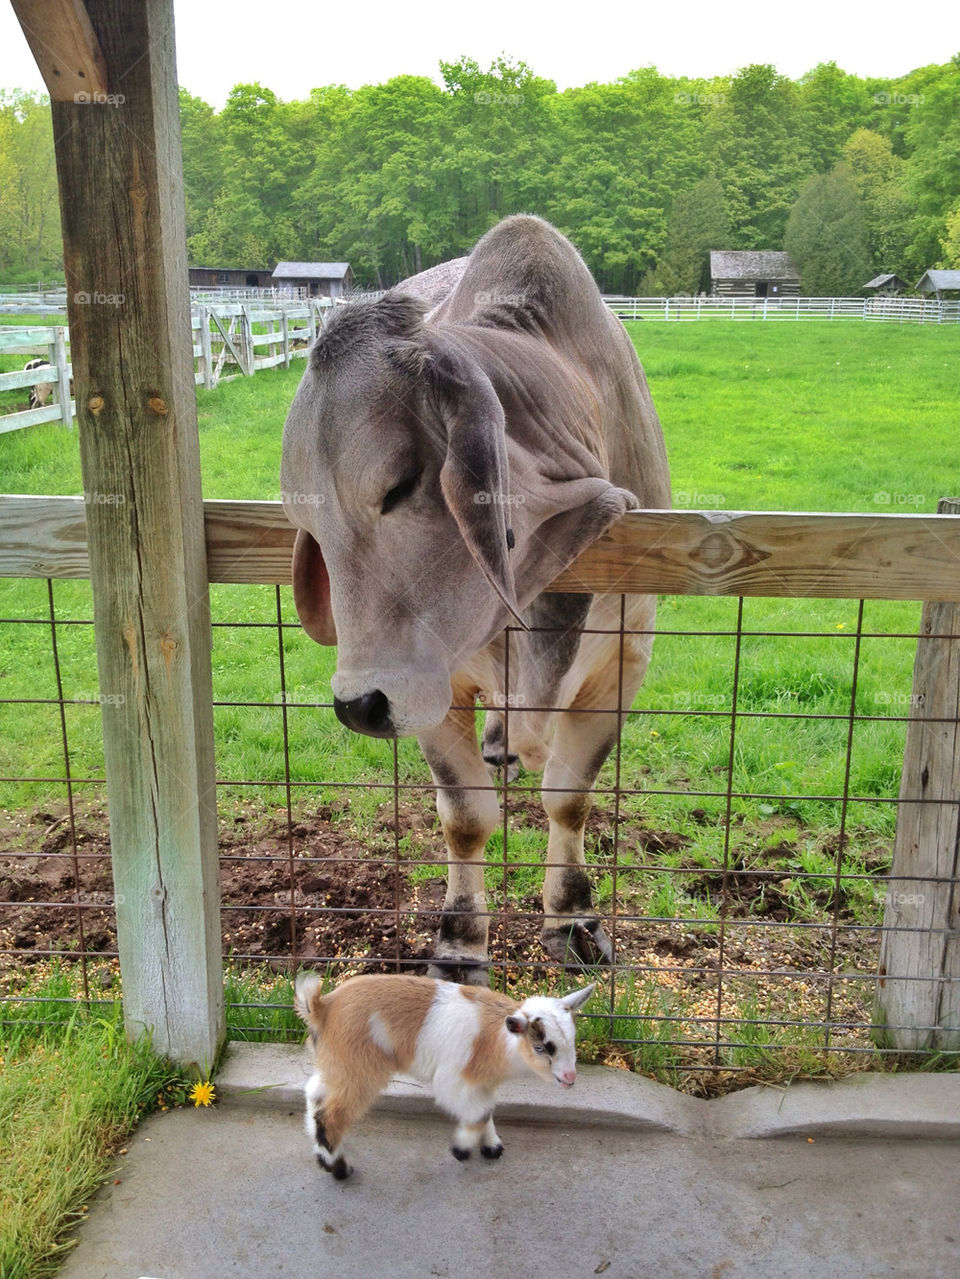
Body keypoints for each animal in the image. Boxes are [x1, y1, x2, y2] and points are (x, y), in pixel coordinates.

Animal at [277, 217, 669, 977]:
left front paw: (574, 918)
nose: (357, 706)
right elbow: (465, 819)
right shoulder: (434, 685)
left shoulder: (625, 662)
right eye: (306, 518)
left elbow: (569, 800)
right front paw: (460, 943)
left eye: (399, 486)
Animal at [292, 972, 593, 1181]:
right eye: (541, 1047)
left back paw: (323, 1156)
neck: (494, 1040)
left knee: (314, 1093)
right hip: (359, 1071)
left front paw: (491, 1147)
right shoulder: (453, 1081)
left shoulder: (481, 1084)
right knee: (331, 1114)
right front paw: (461, 1150)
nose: (570, 1077)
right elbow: (479, 1113)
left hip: (338, 1066)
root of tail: (322, 1008)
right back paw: (340, 1169)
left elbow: (486, 1109)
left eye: (572, 1039)